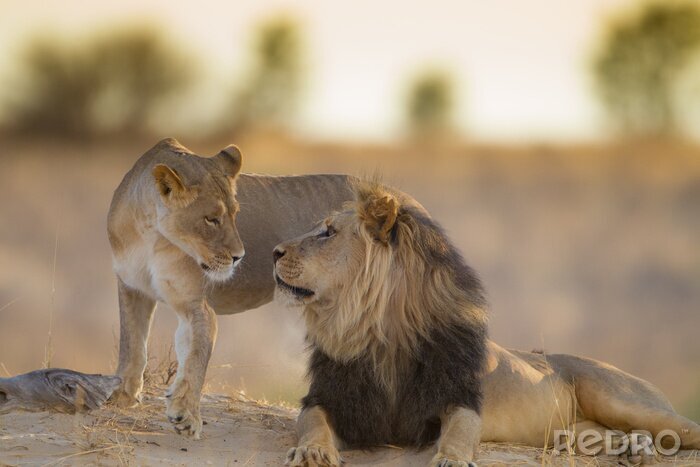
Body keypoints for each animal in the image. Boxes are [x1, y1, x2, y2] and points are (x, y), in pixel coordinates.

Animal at [107, 138, 356, 438]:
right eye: (211, 219)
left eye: (235, 215)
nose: (239, 256)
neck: (151, 233)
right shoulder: (132, 287)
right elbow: (132, 344)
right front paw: (123, 396)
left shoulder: (197, 305)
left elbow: (196, 357)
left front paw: (186, 414)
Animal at [273, 181, 700, 466]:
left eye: (328, 232)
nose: (274, 251)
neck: (378, 332)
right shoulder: (328, 400)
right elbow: (313, 424)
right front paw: (313, 451)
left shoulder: (460, 398)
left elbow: (460, 431)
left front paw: (451, 459)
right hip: (575, 432)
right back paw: (634, 449)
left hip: (621, 398)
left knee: (681, 427)